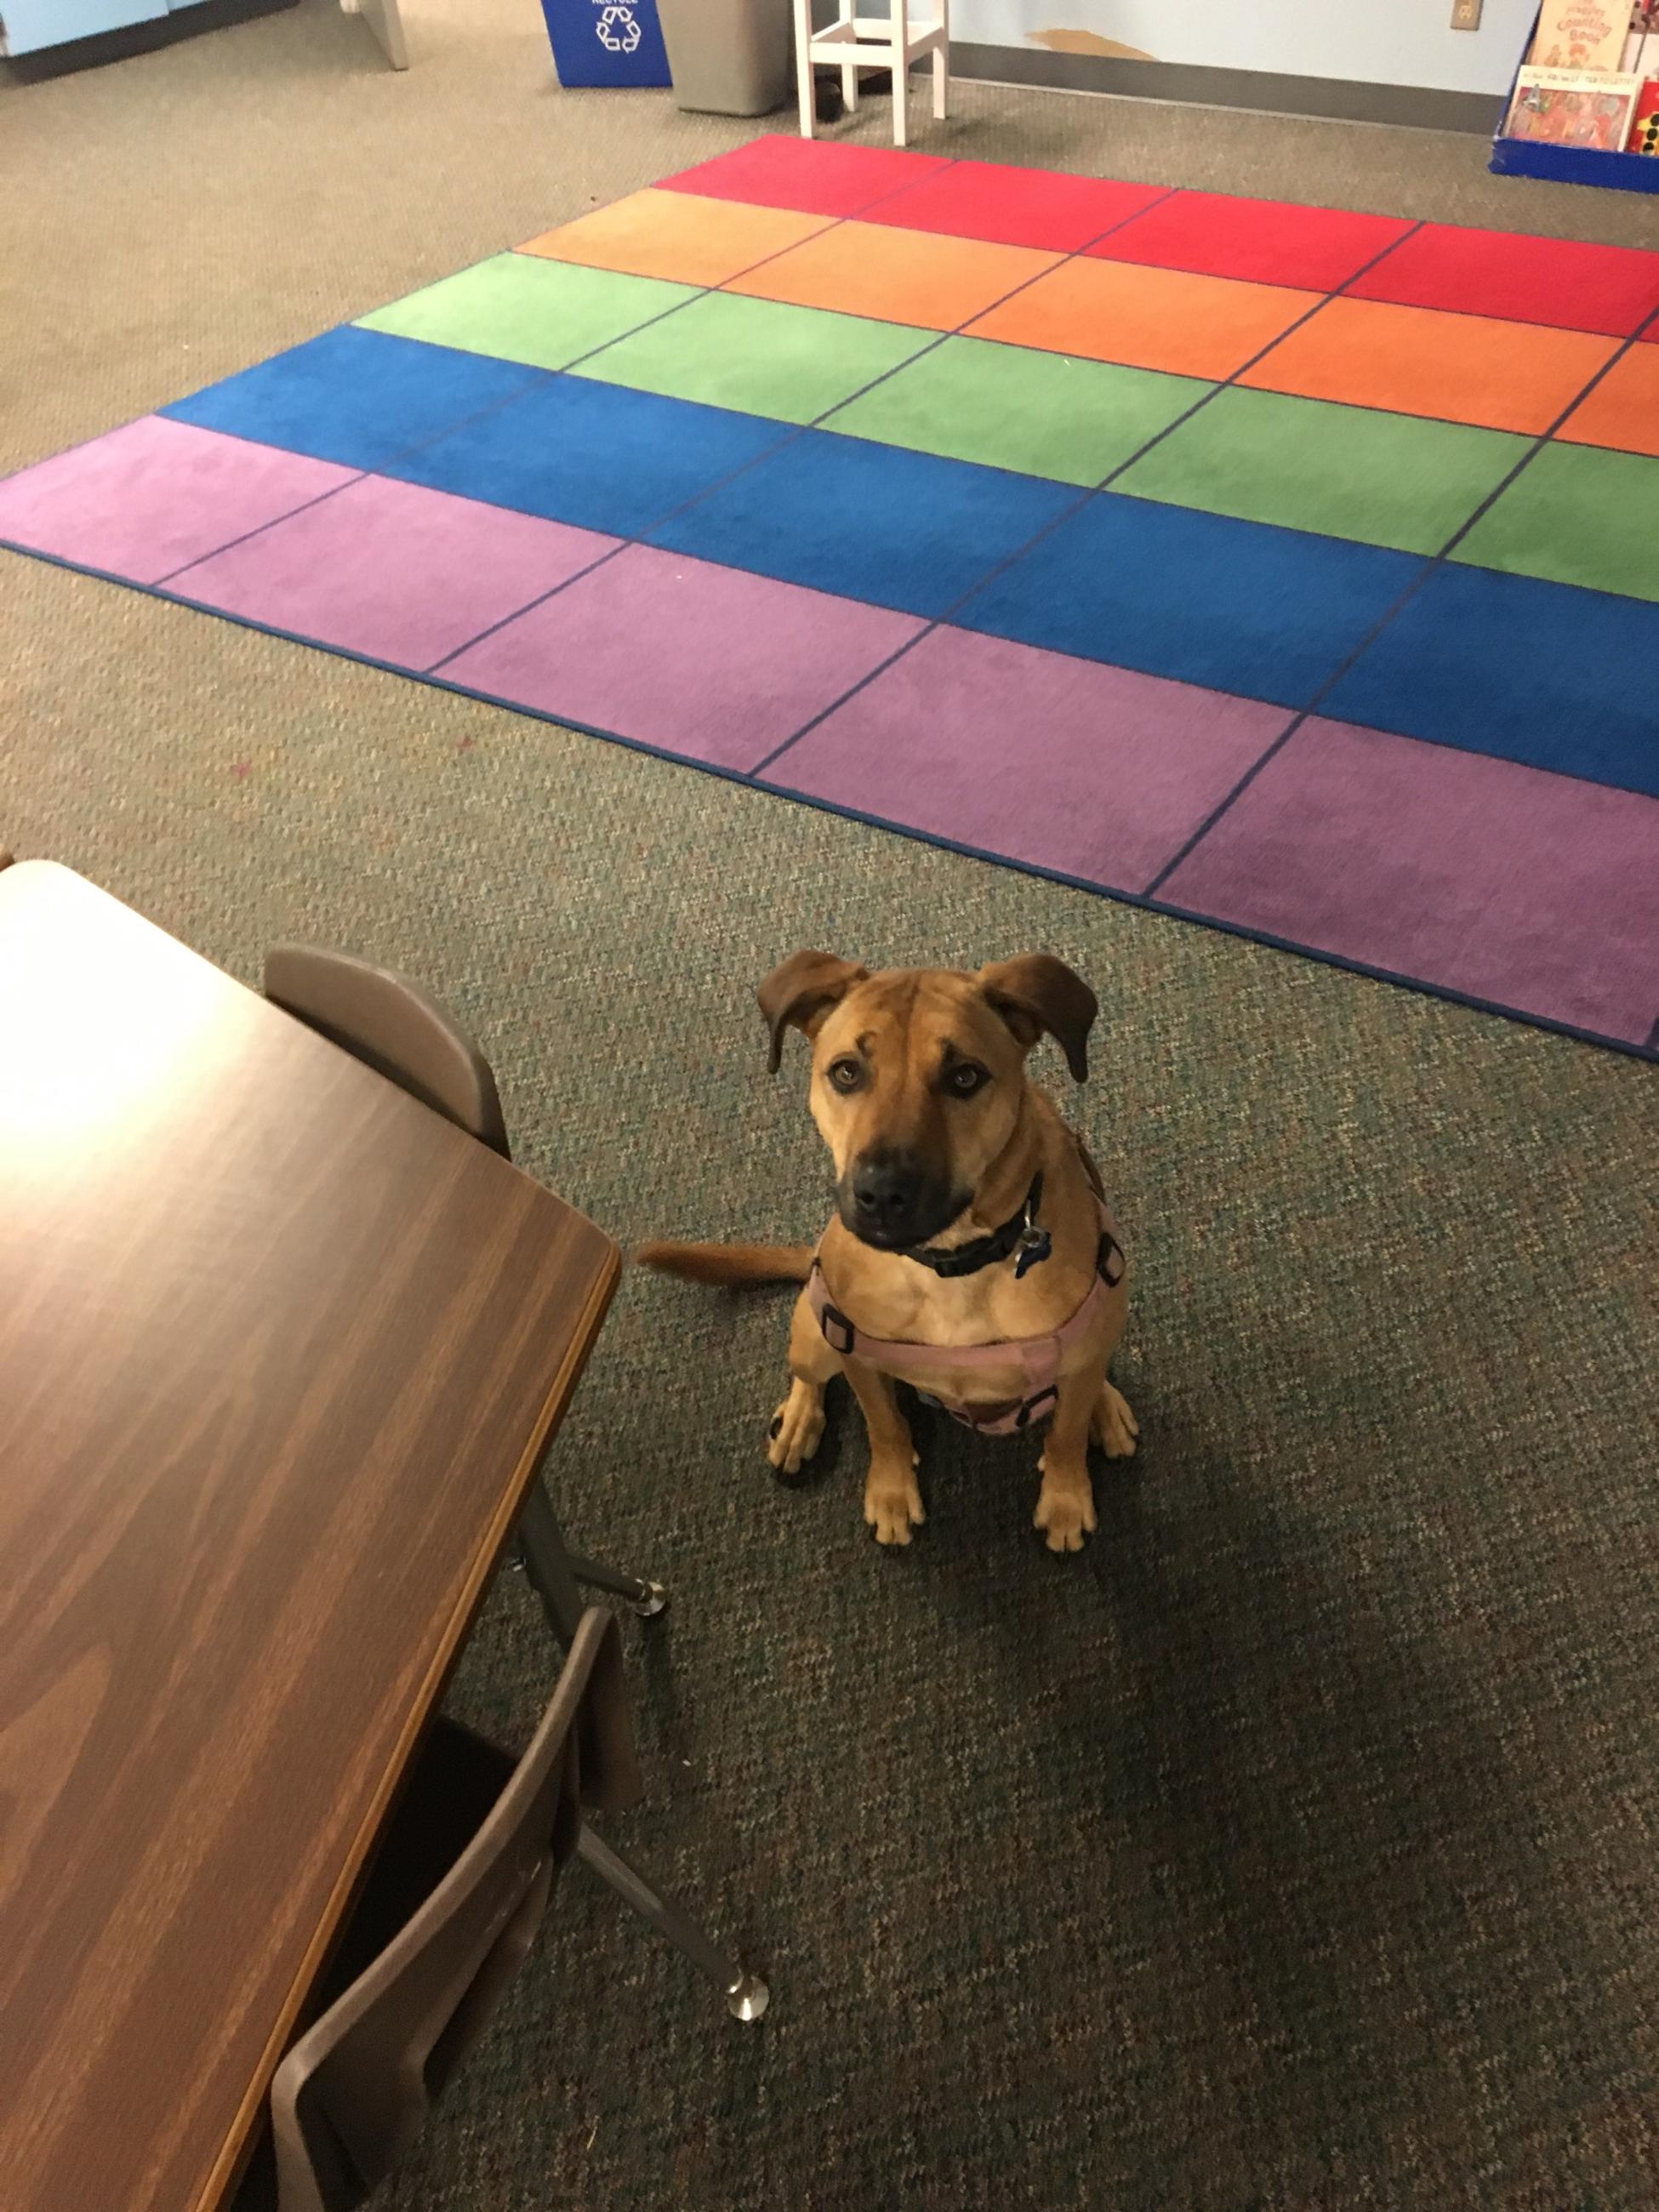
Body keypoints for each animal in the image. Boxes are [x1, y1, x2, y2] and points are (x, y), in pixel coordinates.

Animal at [641, 951, 1141, 1557]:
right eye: (847, 1072)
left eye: (965, 1076)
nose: (880, 1193)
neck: (951, 1265)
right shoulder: (858, 1354)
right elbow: (886, 1427)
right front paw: (892, 1493)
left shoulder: (1081, 1351)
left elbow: (1064, 1433)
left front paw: (1066, 1499)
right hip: (815, 1336)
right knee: (809, 1374)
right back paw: (800, 1421)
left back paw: (1104, 1408)